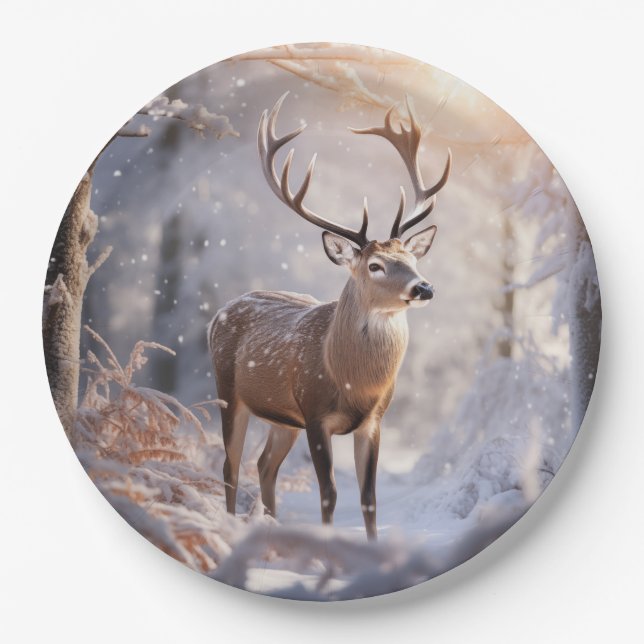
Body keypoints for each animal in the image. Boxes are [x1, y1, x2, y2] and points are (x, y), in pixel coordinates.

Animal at [208, 92, 450, 540]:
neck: (354, 383)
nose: (423, 288)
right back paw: (231, 528)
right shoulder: (316, 412)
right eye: (375, 265)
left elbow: (369, 498)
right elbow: (329, 494)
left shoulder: (373, 420)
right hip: (230, 391)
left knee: (264, 465)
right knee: (231, 467)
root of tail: (219, 312)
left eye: (411, 258)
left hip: (283, 419)